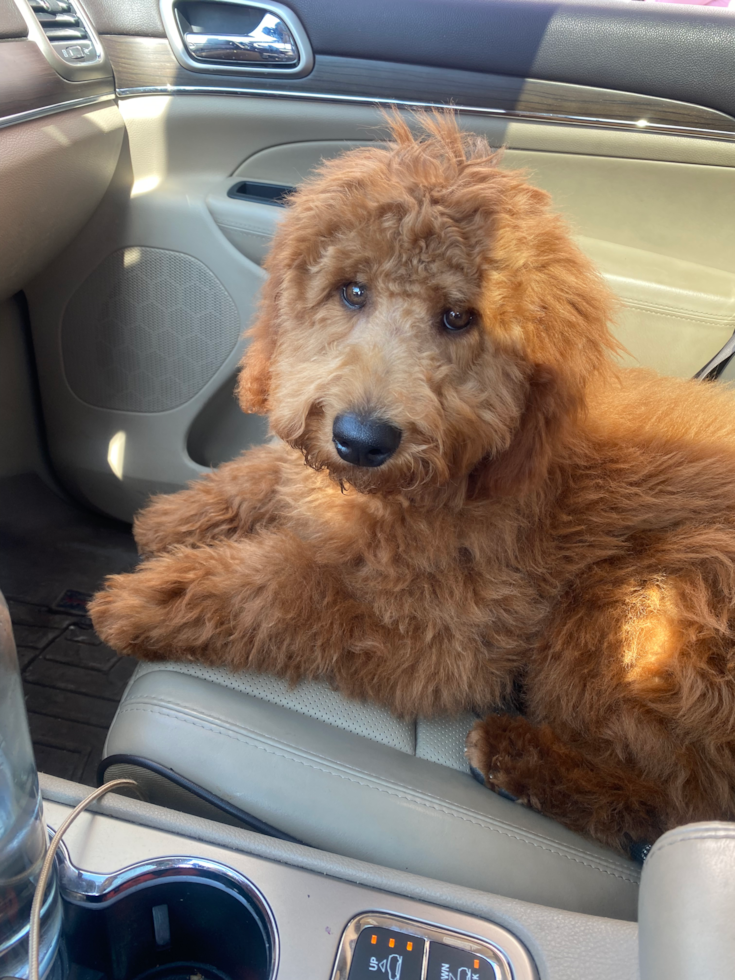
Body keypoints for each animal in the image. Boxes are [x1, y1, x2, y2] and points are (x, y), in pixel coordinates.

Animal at [92, 111, 735, 852]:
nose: (361, 440)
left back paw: (523, 758)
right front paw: (172, 521)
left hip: (651, 590)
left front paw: (153, 596)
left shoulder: (446, 636)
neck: (467, 470)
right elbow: (265, 476)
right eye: (352, 290)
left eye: (459, 317)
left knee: (670, 799)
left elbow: (291, 589)